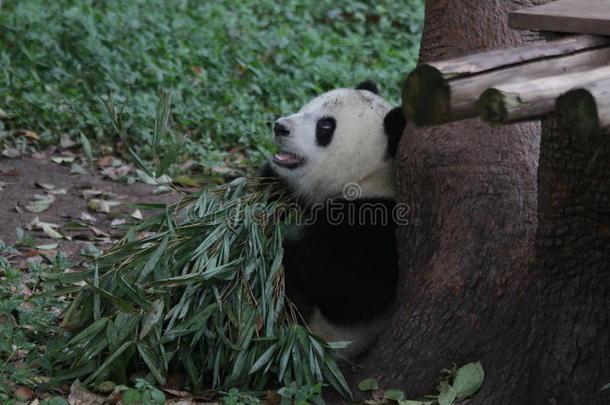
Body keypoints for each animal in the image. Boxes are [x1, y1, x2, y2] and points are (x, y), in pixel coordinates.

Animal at [264, 79, 404, 356]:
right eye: (307, 107)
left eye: (325, 126)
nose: (280, 127)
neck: (366, 178)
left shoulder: (375, 225)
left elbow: (355, 296)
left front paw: (285, 246)